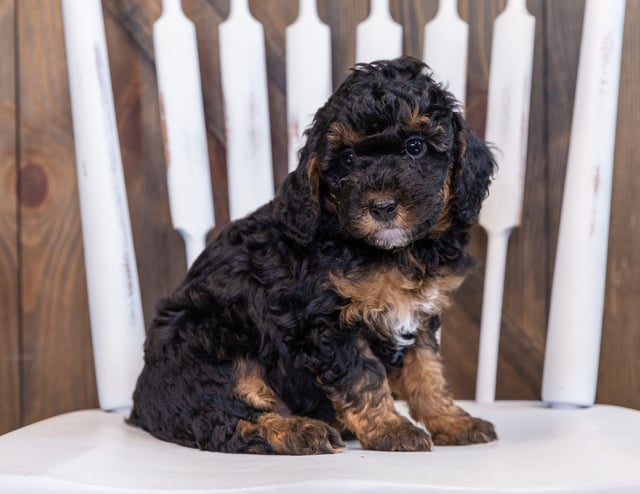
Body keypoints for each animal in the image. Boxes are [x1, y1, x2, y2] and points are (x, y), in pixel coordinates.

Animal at [130, 56, 498, 454]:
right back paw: (298, 431)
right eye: (347, 158)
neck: (391, 253)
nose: (382, 206)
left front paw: (450, 421)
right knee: (225, 420)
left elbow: (428, 372)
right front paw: (390, 428)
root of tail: (141, 407)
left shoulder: (418, 318)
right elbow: (363, 377)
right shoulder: (327, 323)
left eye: (415, 146)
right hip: (208, 341)